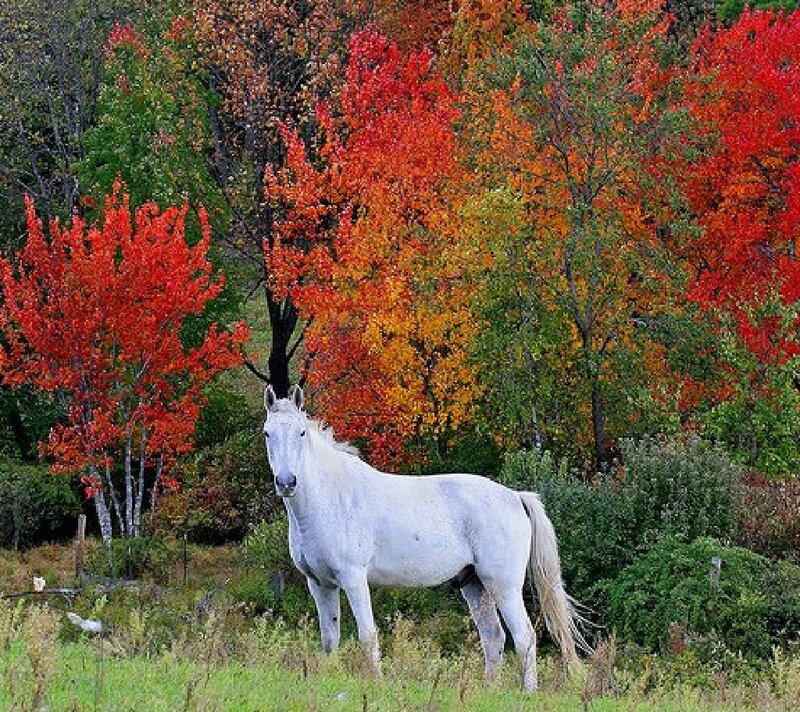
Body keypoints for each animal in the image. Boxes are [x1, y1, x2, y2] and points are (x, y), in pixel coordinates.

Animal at [262, 385, 588, 691]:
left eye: (301, 432)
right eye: (267, 434)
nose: (287, 482)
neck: (332, 498)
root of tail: (515, 497)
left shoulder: (353, 579)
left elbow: (368, 636)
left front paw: (376, 684)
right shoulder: (320, 584)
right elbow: (330, 639)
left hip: (503, 586)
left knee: (524, 636)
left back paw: (528, 692)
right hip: (474, 584)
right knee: (493, 637)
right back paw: (489, 689)